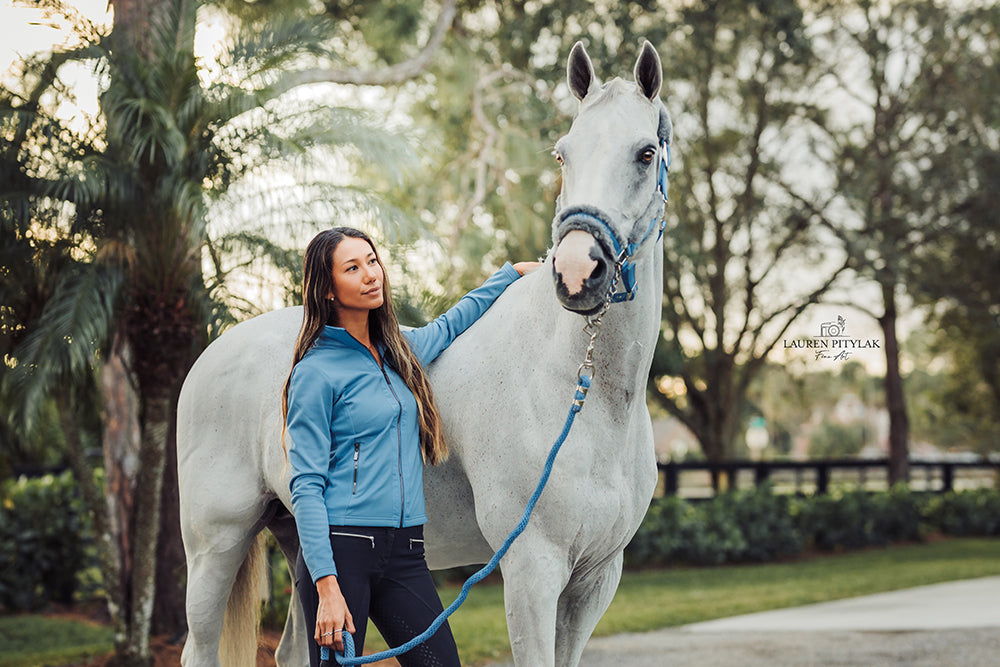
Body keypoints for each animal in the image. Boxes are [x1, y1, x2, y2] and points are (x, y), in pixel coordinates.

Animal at [179, 41, 672, 667]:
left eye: (645, 152)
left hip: (299, 542)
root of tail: (211, 356)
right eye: (563, 154)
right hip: (215, 546)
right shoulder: (532, 570)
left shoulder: (594, 580)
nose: (576, 271)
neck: (579, 395)